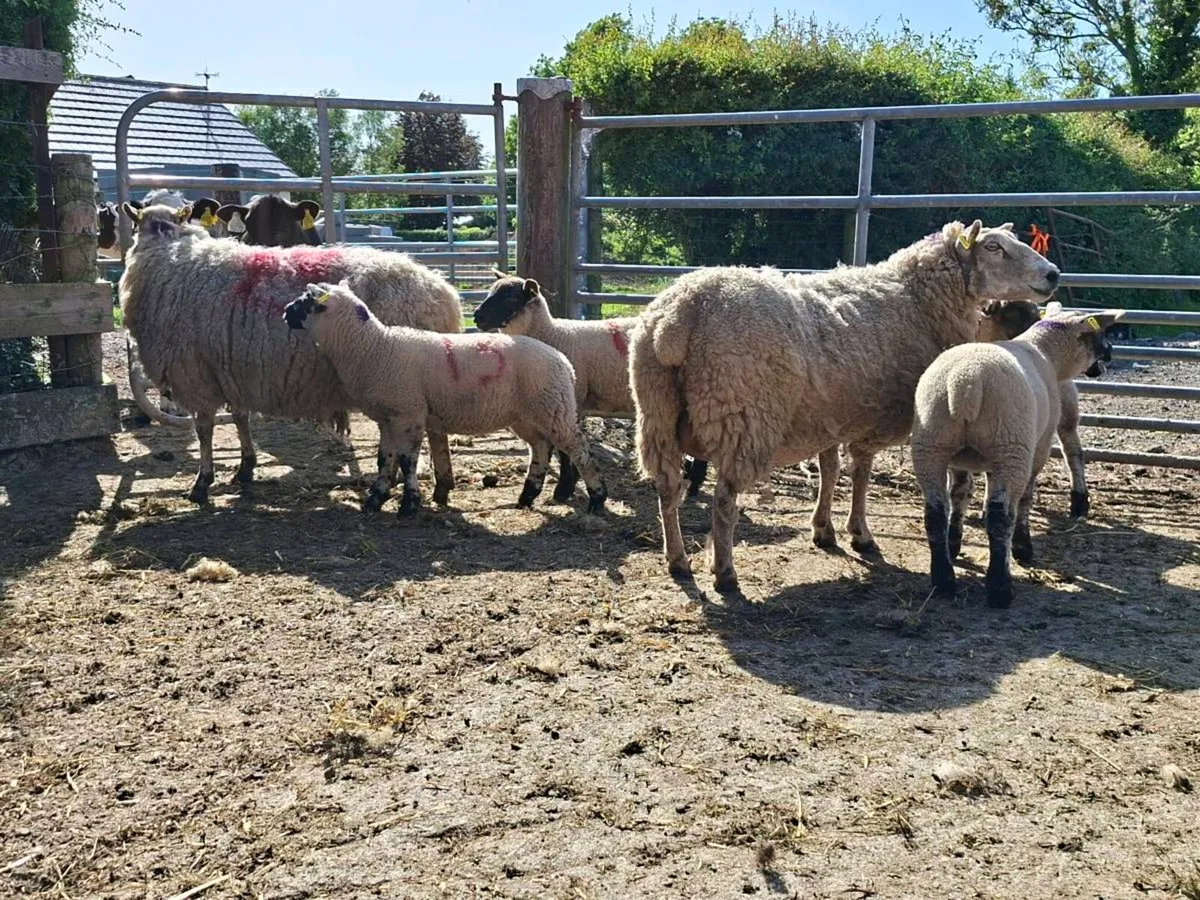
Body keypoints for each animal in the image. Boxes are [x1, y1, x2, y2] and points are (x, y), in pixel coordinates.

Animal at [118, 203, 463, 504]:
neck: (166, 250)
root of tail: (444, 295)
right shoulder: (232, 368)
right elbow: (240, 417)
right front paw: (246, 466)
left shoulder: (195, 372)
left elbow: (204, 429)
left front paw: (202, 482)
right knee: (434, 432)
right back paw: (438, 485)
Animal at [284, 280, 608, 514]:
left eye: (308, 300)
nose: (286, 311)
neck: (373, 347)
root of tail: (563, 362)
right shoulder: (387, 417)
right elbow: (383, 458)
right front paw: (375, 499)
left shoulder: (409, 413)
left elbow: (407, 461)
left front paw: (409, 504)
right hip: (527, 414)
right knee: (541, 447)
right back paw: (527, 496)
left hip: (553, 407)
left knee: (578, 449)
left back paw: (597, 498)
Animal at [631, 220, 1060, 593]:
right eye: (994, 247)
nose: (1054, 274)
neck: (916, 298)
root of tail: (680, 314)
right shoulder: (874, 418)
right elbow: (861, 474)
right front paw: (860, 534)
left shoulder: (829, 415)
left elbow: (831, 471)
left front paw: (823, 529)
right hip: (742, 417)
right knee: (723, 500)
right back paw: (724, 573)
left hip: (656, 413)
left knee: (667, 487)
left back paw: (677, 560)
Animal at [910, 307, 1121, 608]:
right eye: (1099, 333)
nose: (1111, 352)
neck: (1045, 352)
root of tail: (965, 384)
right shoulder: (1037, 448)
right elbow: (1025, 499)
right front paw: (1023, 547)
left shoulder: (963, 461)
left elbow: (961, 494)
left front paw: (955, 542)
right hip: (1011, 446)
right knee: (1001, 516)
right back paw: (1000, 588)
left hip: (931, 444)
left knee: (935, 513)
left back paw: (943, 581)